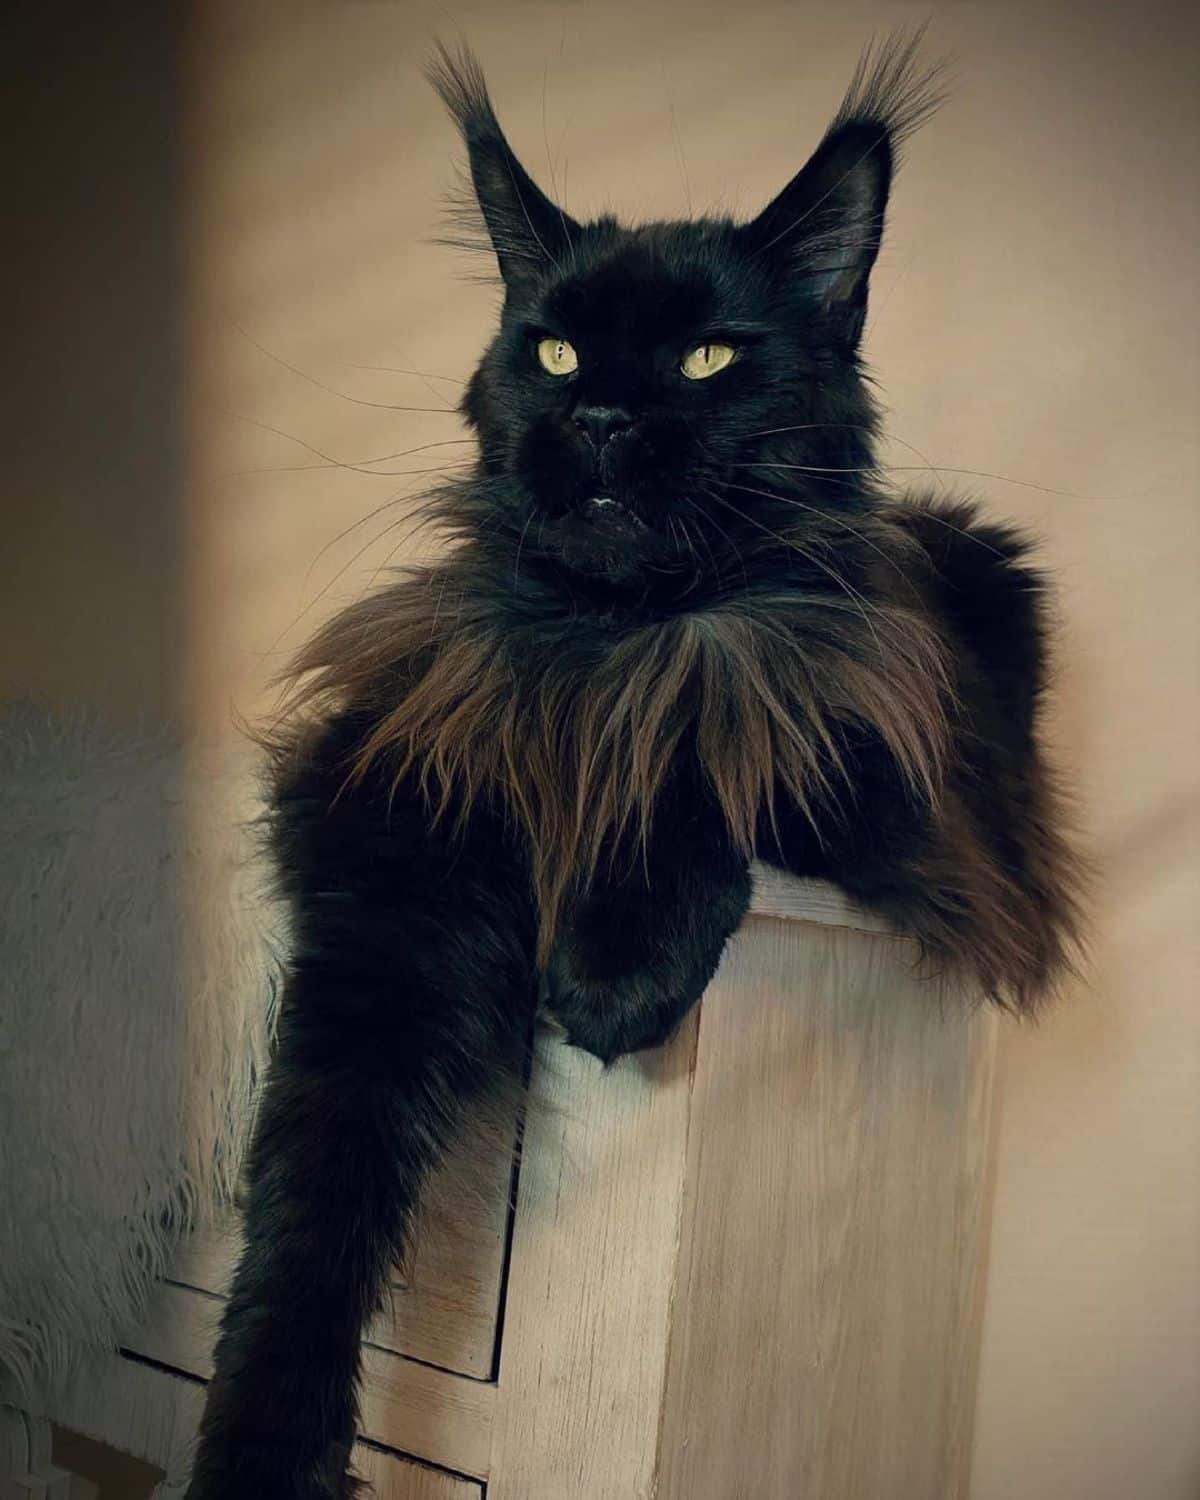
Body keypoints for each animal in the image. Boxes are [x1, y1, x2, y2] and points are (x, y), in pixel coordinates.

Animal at [189, 35, 1086, 1500]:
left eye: (709, 356)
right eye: (553, 349)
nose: (605, 416)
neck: (603, 648)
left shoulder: (883, 776)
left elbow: (694, 755)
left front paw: (613, 975)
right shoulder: (387, 863)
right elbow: (309, 1214)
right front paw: (257, 1457)